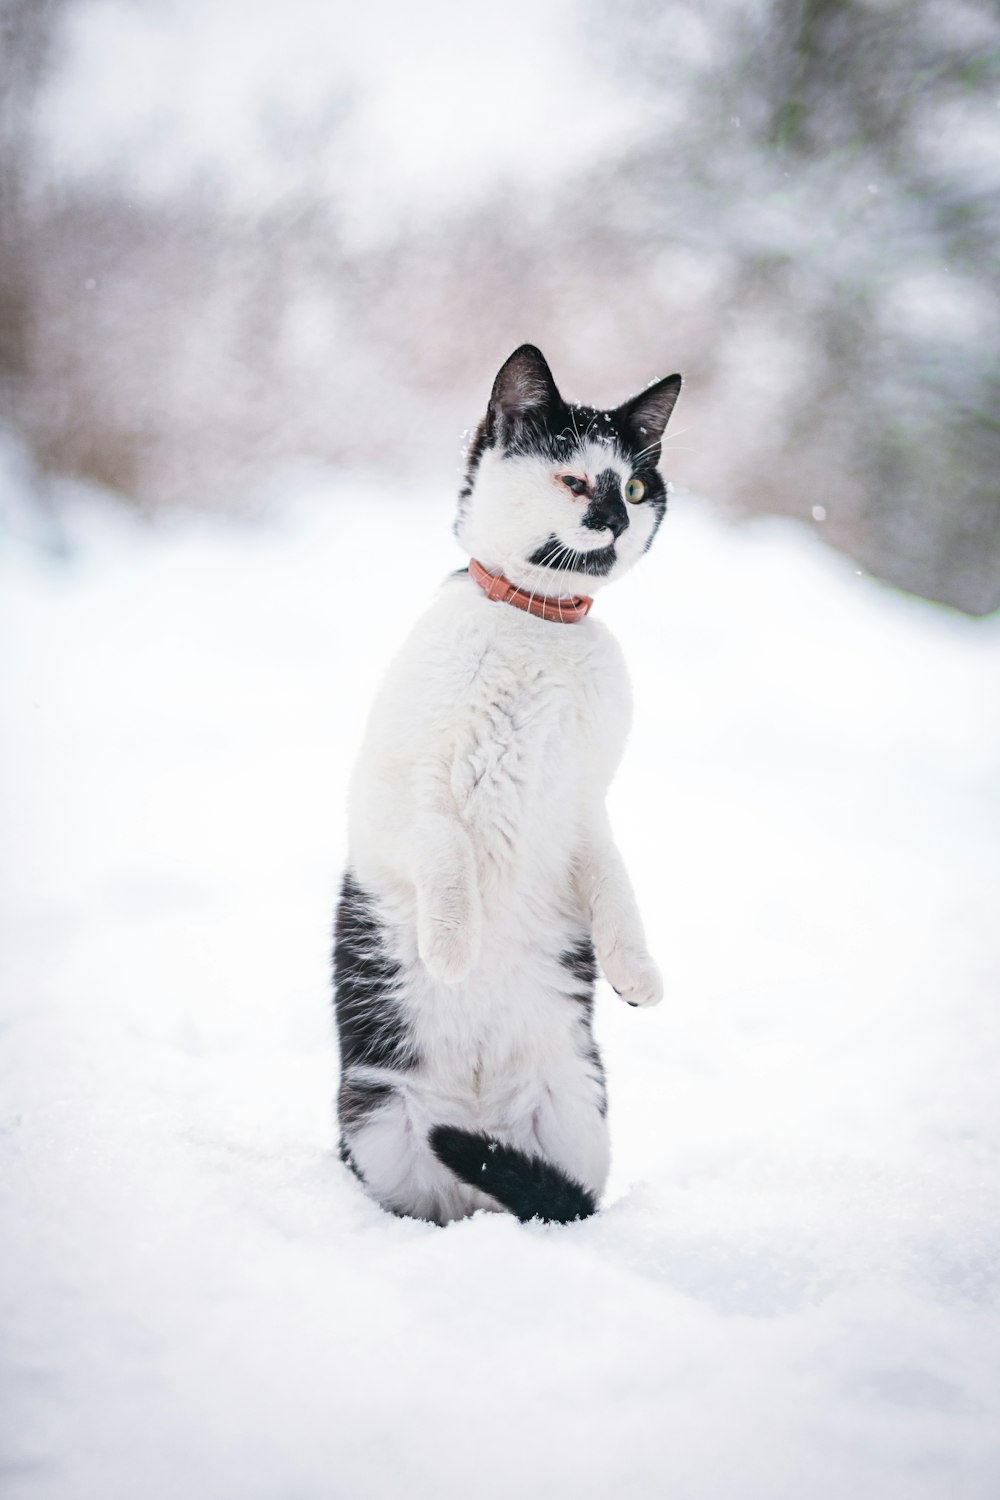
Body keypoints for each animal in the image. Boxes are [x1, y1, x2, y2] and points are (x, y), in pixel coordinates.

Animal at [334, 345, 680, 1224]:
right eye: (575, 481)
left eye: (634, 488)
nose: (617, 519)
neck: (539, 627)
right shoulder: (393, 796)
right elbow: (447, 845)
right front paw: (453, 946)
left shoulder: (585, 808)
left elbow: (615, 881)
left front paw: (635, 972)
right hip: (376, 1120)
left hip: (579, 1110)